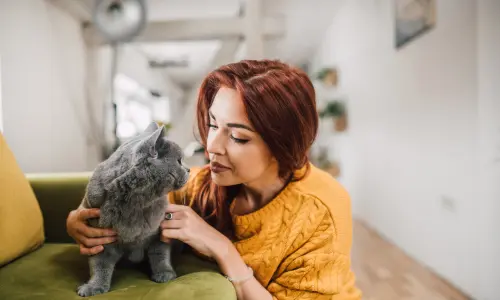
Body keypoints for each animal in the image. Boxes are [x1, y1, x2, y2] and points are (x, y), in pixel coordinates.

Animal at [75, 122, 189, 298]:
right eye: (179, 161)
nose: (189, 170)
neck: (135, 203)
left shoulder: (159, 232)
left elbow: (160, 254)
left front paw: (165, 274)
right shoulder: (100, 237)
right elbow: (100, 264)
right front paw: (94, 287)